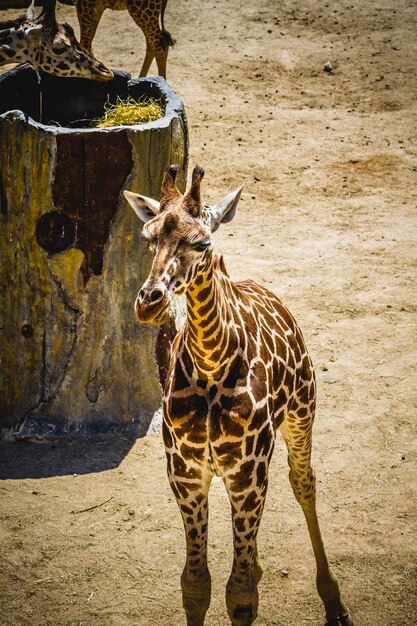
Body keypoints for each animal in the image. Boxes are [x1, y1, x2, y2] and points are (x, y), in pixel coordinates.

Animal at [123, 166, 352, 624]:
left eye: (201, 243)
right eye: (148, 237)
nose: (149, 303)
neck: (213, 365)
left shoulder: (246, 474)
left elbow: (241, 595)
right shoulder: (187, 474)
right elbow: (197, 585)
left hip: (301, 414)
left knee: (304, 482)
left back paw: (333, 599)